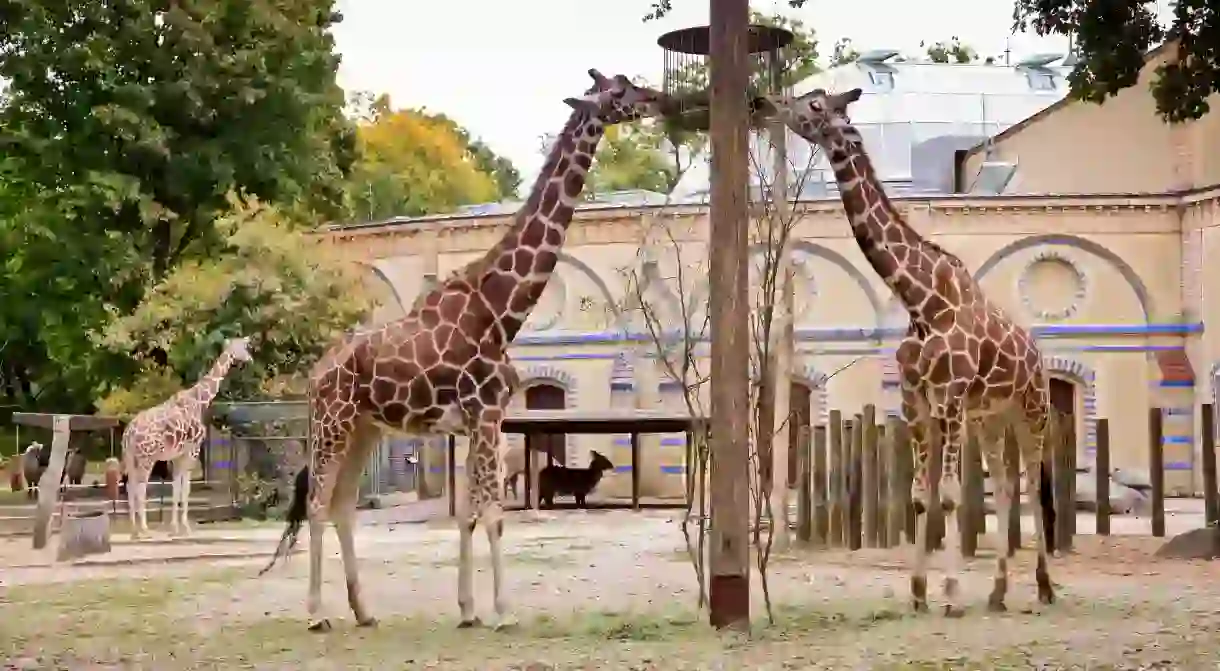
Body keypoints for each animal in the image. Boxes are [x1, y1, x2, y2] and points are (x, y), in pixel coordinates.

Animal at [121, 336, 252, 541]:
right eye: (243, 347)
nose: (250, 358)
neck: (200, 400)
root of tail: (129, 432)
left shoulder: (177, 455)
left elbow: (176, 487)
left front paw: (174, 528)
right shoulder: (193, 450)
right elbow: (186, 488)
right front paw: (185, 527)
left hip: (131, 457)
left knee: (130, 486)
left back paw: (134, 531)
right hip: (147, 458)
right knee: (141, 488)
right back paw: (144, 530)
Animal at [259, 71, 678, 634]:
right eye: (619, 92)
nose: (657, 99)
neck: (500, 310)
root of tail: (314, 375)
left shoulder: (482, 420)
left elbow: (470, 512)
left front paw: (468, 610)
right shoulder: (487, 413)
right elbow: (494, 515)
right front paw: (502, 612)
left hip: (365, 429)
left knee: (344, 504)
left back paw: (364, 612)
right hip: (332, 424)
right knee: (319, 502)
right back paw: (317, 615)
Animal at [761, 89, 1058, 619]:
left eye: (815, 105)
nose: (768, 102)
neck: (921, 301)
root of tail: (1037, 356)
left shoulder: (951, 399)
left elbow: (950, 495)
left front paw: (952, 595)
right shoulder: (916, 399)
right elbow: (920, 496)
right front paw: (919, 592)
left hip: (1032, 409)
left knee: (1033, 484)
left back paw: (1044, 587)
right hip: (992, 417)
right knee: (1006, 486)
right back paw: (999, 592)